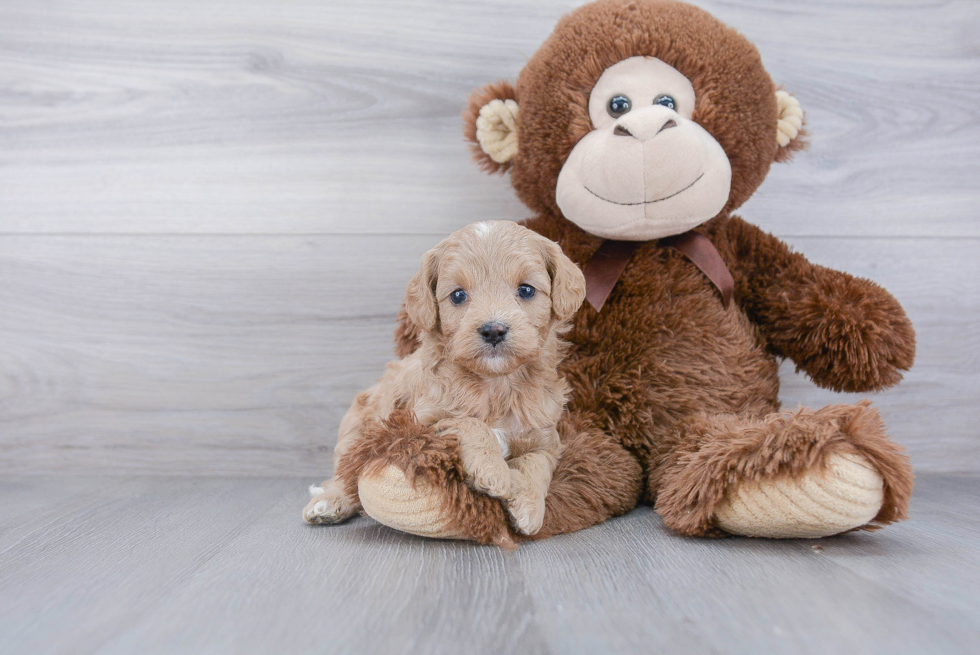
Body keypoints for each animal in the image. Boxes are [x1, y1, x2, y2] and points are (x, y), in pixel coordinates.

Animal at [302, 222, 584, 540]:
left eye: (526, 290)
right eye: (458, 295)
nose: (494, 330)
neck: (495, 386)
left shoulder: (546, 437)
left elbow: (538, 463)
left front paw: (529, 506)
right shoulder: (417, 425)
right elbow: (467, 422)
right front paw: (494, 470)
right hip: (356, 430)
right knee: (344, 473)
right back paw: (328, 503)